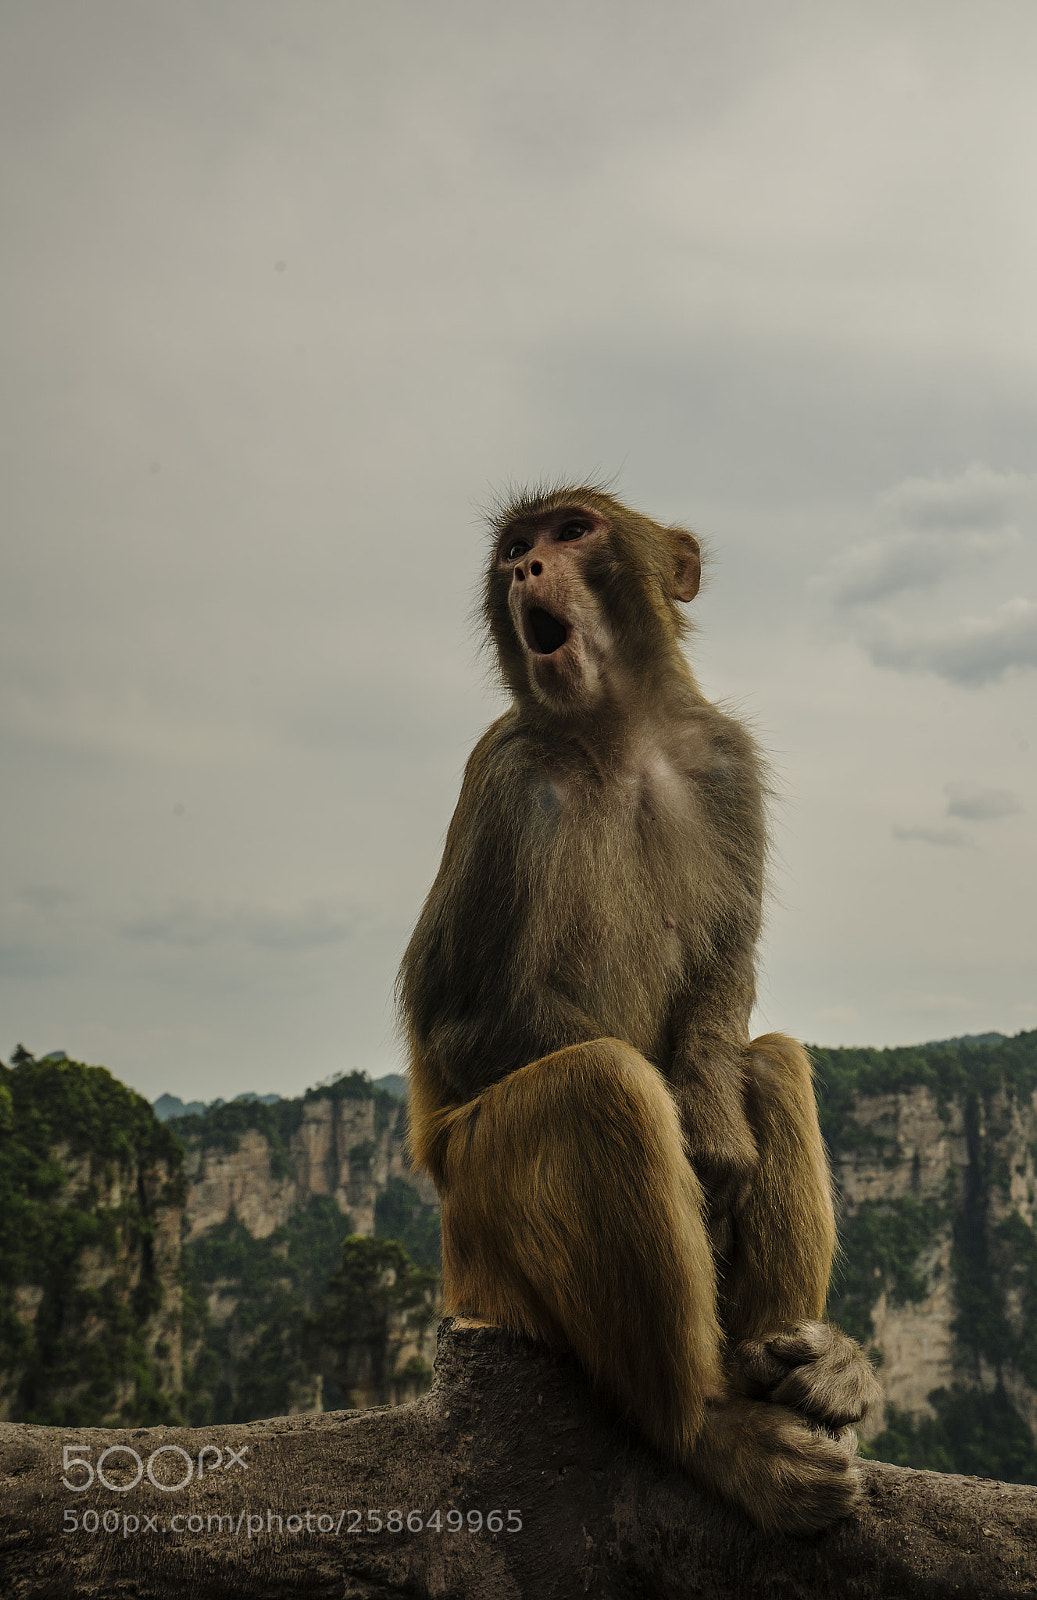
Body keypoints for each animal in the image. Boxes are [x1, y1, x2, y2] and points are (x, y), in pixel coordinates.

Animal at [398, 486, 880, 1534]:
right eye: (514, 544)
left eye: (571, 531)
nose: (525, 569)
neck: (619, 736)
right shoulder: (502, 779)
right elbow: (454, 1019)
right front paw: (696, 1139)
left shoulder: (727, 763)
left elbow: (724, 972)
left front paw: (718, 1127)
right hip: (481, 1229)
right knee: (600, 1084)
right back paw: (711, 1428)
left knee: (767, 1059)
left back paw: (806, 1372)